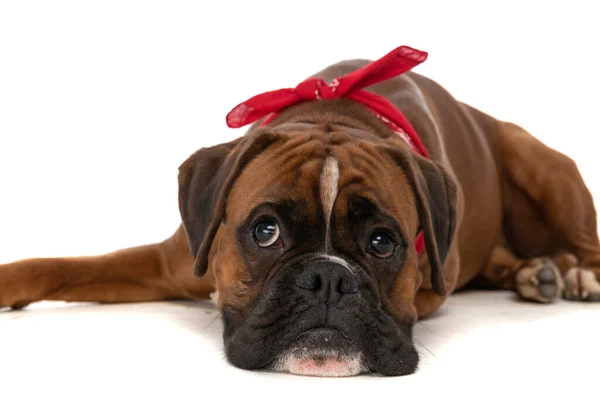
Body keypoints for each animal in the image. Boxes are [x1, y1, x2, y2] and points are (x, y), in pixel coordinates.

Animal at [1, 47, 600, 378]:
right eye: (265, 231)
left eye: (383, 242)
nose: (327, 279)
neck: (334, 113)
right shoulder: (165, 263)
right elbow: (64, 267)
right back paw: (534, 272)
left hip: (537, 159)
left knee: (583, 245)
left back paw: (569, 273)